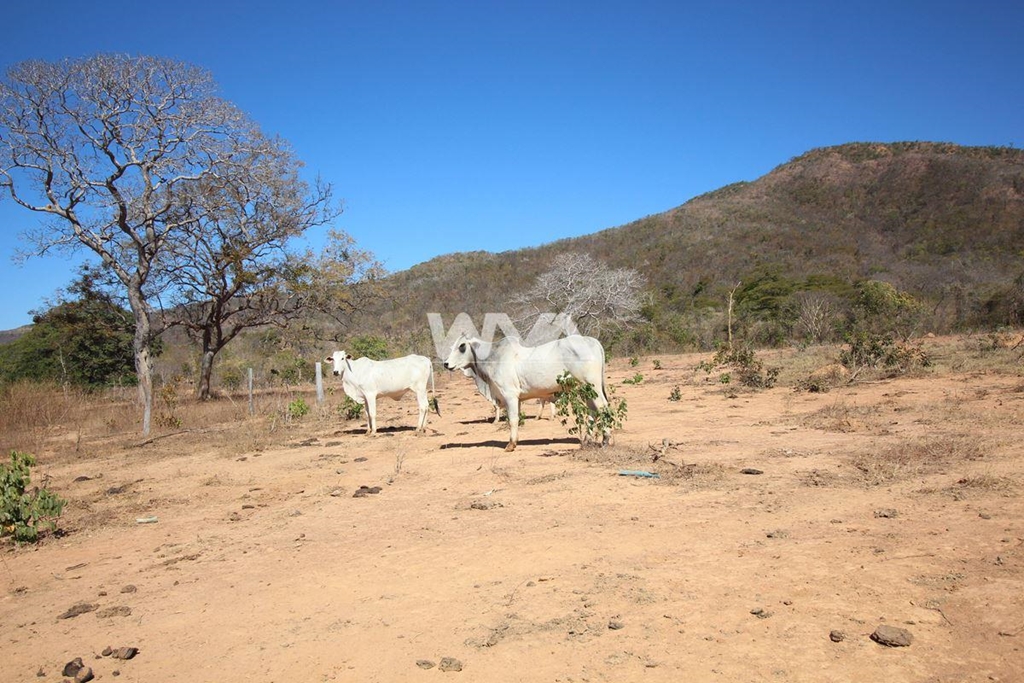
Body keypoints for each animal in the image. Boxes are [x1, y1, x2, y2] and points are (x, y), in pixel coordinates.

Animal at [442, 335, 606, 450]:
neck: (493, 358)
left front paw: (510, 445)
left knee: (603, 407)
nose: (446, 364)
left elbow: (512, 420)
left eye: (462, 346)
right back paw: (589, 439)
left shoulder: (510, 396)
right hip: (586, 389)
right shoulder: (517, 399)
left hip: (593, 386)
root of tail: (592, 341)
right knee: (592, 410)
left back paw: (606, 440)